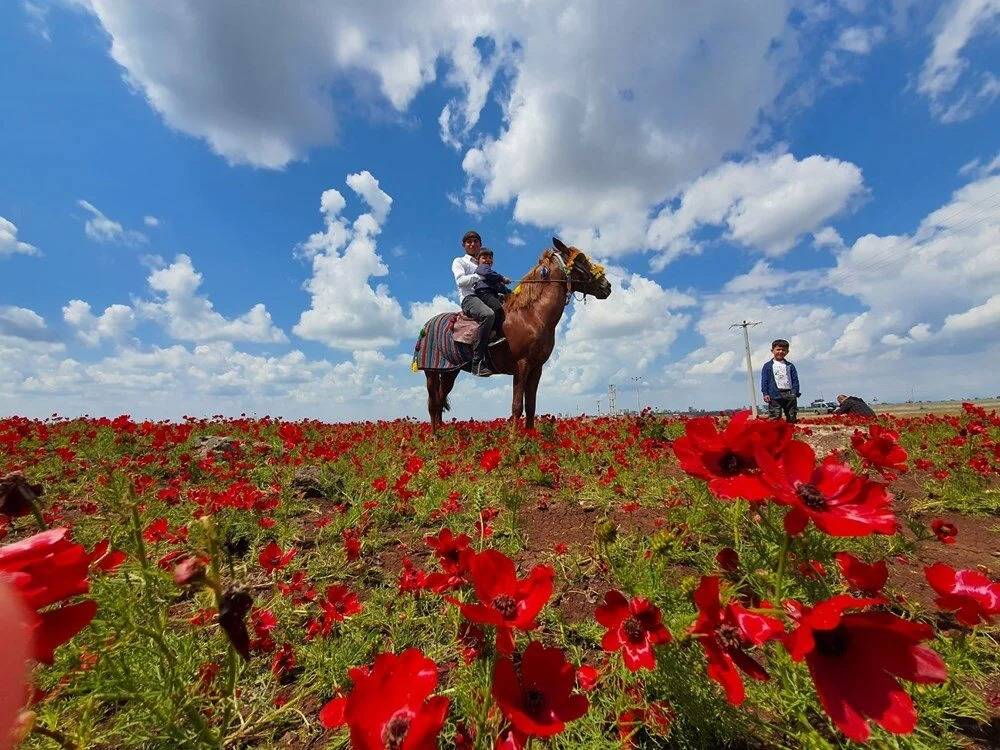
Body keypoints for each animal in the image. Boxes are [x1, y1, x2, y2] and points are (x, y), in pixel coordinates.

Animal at [424, 238, 612, 432]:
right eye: (580, 260)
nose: (607, 286)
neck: (532, 316)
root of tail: (428, 324)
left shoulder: (536, 368)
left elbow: (530, 406)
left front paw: (530, 436)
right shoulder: (522, 365)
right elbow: (517, 406)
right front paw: (514, 438)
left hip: (450, 371)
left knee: (439, 401)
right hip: (431, 372)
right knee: (433, 404)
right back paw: (434, 437)